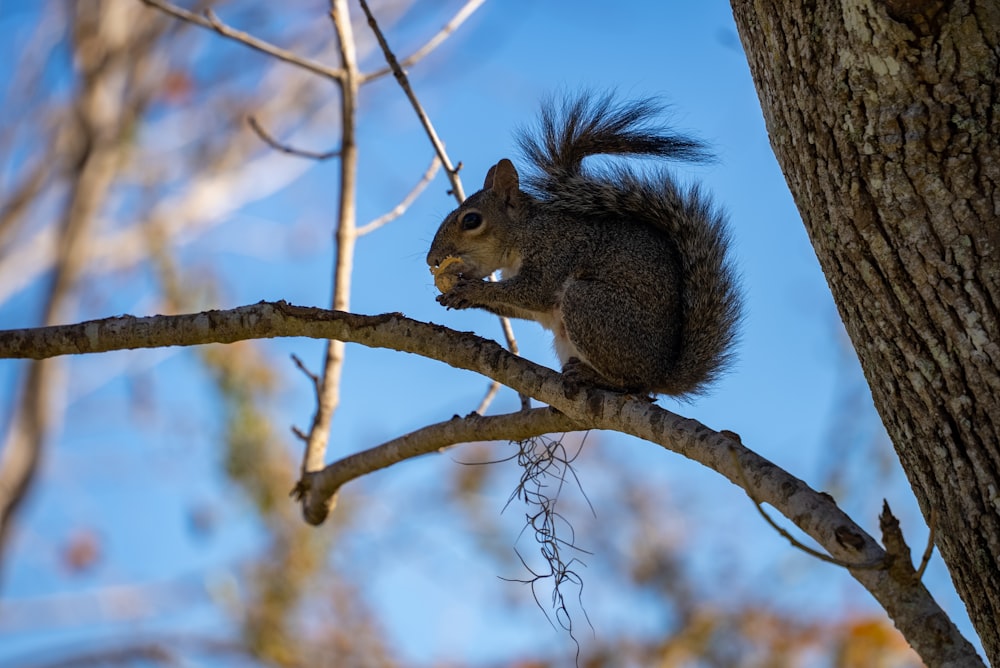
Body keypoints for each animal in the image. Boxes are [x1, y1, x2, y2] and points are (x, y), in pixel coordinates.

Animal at [426, 93, 740, 396]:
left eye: (471, 220)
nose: (432, 260)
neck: (525, 231)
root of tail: (661, 374)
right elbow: (522, 308)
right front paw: (463, 296)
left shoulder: (555, 250)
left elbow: (534, 292)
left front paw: (473, 289)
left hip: (590, 306)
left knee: (634, 385)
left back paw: (597, 377)